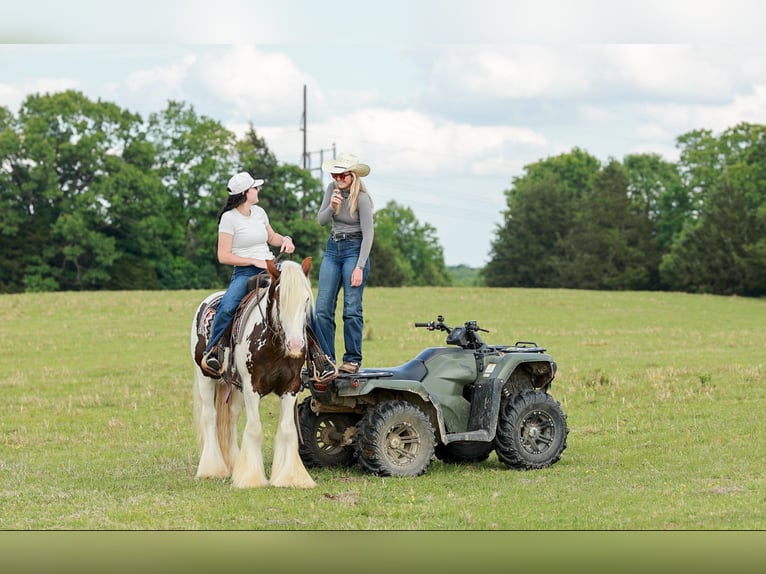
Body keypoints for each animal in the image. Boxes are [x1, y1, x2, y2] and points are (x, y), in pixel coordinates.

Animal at [190, 257, 316, 488]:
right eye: (280, 299)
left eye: (305, 300)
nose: (296, 345)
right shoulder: (252, 387)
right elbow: (255, 428)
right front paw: (251, 478)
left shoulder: (291, 387)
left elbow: (287, 429)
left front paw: (290, 477)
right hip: (206, 377)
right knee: (210, 416)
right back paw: (212, 468)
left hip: (234, 387)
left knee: (230, 418)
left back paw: (232, 464)